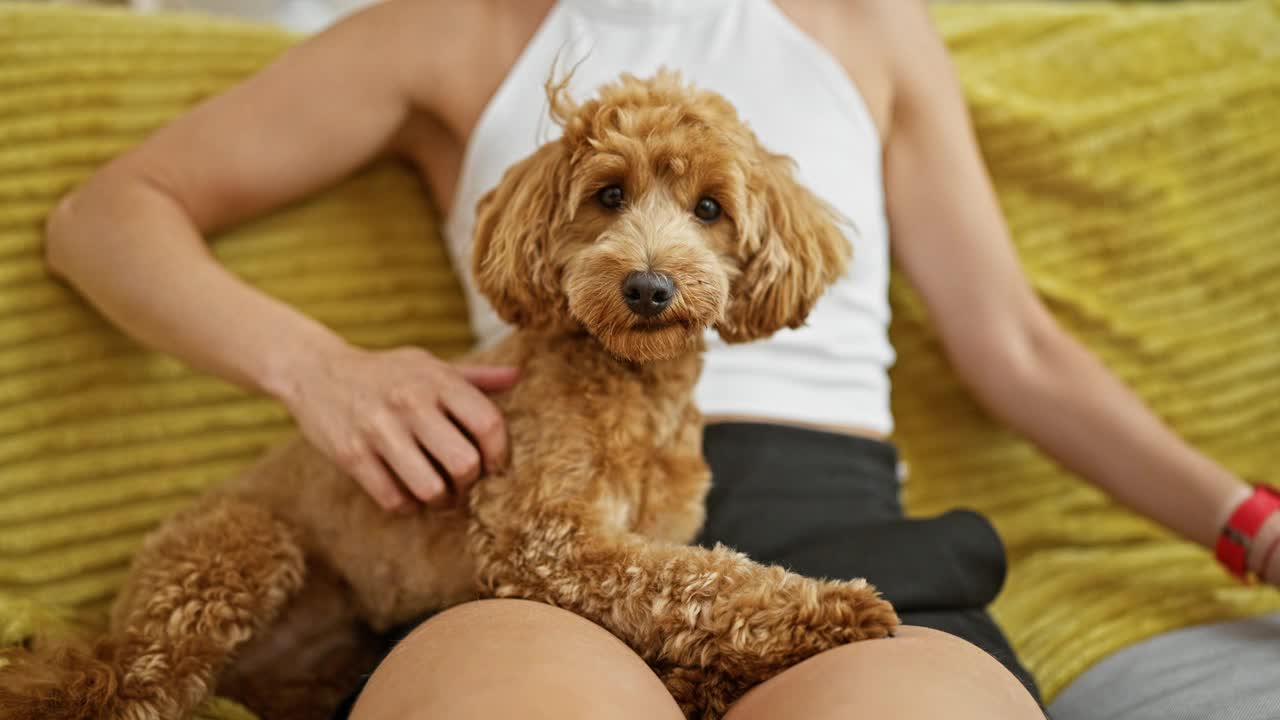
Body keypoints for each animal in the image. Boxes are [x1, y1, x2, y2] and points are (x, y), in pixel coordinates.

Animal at [0, 71, 901, 717]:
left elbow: (684, 594)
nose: (648, 287)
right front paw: (833, 607)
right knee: (115, 692)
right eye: (609, 194)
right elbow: (701, 582)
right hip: (239, 548)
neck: (634, 386)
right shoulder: (546, 537)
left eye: (709, 208)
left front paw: (707, 681)